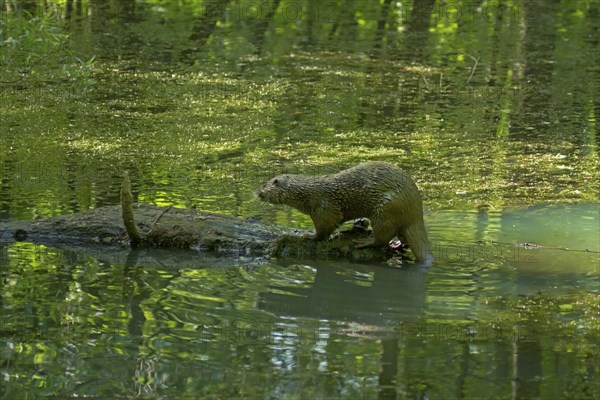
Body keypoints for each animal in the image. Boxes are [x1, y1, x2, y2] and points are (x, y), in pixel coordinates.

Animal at [255, 161, 434, 264]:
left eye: (264, 185)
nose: (258, 193)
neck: (307, 194)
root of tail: (415, 212)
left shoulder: (324, 209)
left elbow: (323, 230)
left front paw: (308, 235)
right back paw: (396, 244)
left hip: (385, 210)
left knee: (382, 237)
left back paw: (364, 242)